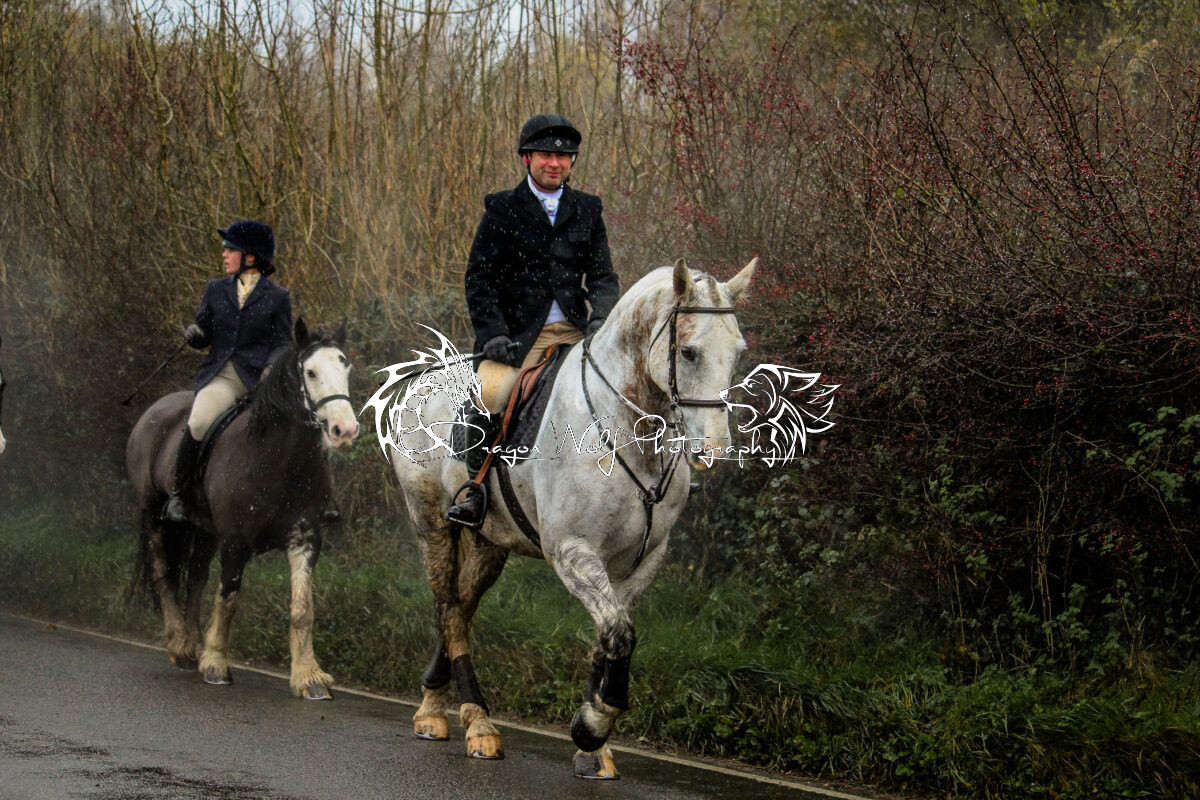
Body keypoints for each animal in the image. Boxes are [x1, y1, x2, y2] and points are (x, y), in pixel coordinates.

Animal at [126, 319, 359, 699]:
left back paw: (192, 645)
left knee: (196, 578)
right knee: (164, 574)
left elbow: (303, 608)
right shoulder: (236, 541)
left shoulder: (305, 538)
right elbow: (229, 597)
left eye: (345, 367)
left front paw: (309, 676)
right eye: (310, 372)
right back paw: (180, 645)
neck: (279, 459)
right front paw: (217, 663)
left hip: (203, 529)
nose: (345, 430)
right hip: (153, 515)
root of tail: (156, 409)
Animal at [372, 258, 756, 777]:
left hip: (491, 541)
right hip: (431, 523)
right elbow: (619, 633)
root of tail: (420, 382)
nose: (713, 451)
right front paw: (591, 727)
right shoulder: (573, 552)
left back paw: (438, 703)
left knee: (460, 608)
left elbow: (611, 635)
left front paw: (595, 747)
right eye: (689, 352)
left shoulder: (643, 558)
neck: (627, 427)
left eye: (736, 352)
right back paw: (474, 722)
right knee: (447, 609)